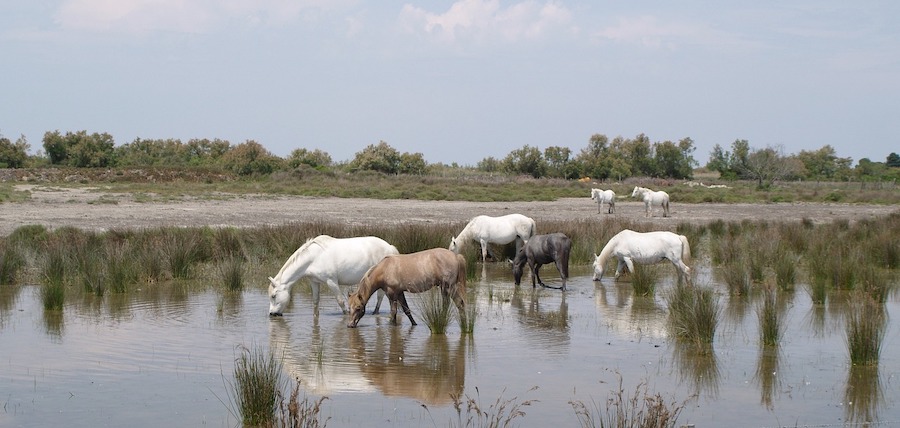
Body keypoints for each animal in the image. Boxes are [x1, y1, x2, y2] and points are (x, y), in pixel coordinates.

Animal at [268, 235, 399, 316]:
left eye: (274, 296)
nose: (272, 314)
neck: (314, 257)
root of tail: (389, 247)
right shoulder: (314, 282)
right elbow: (315, 301)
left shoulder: (331, 282)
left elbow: (340, 301)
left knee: (380, 296)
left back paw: (375, 312)